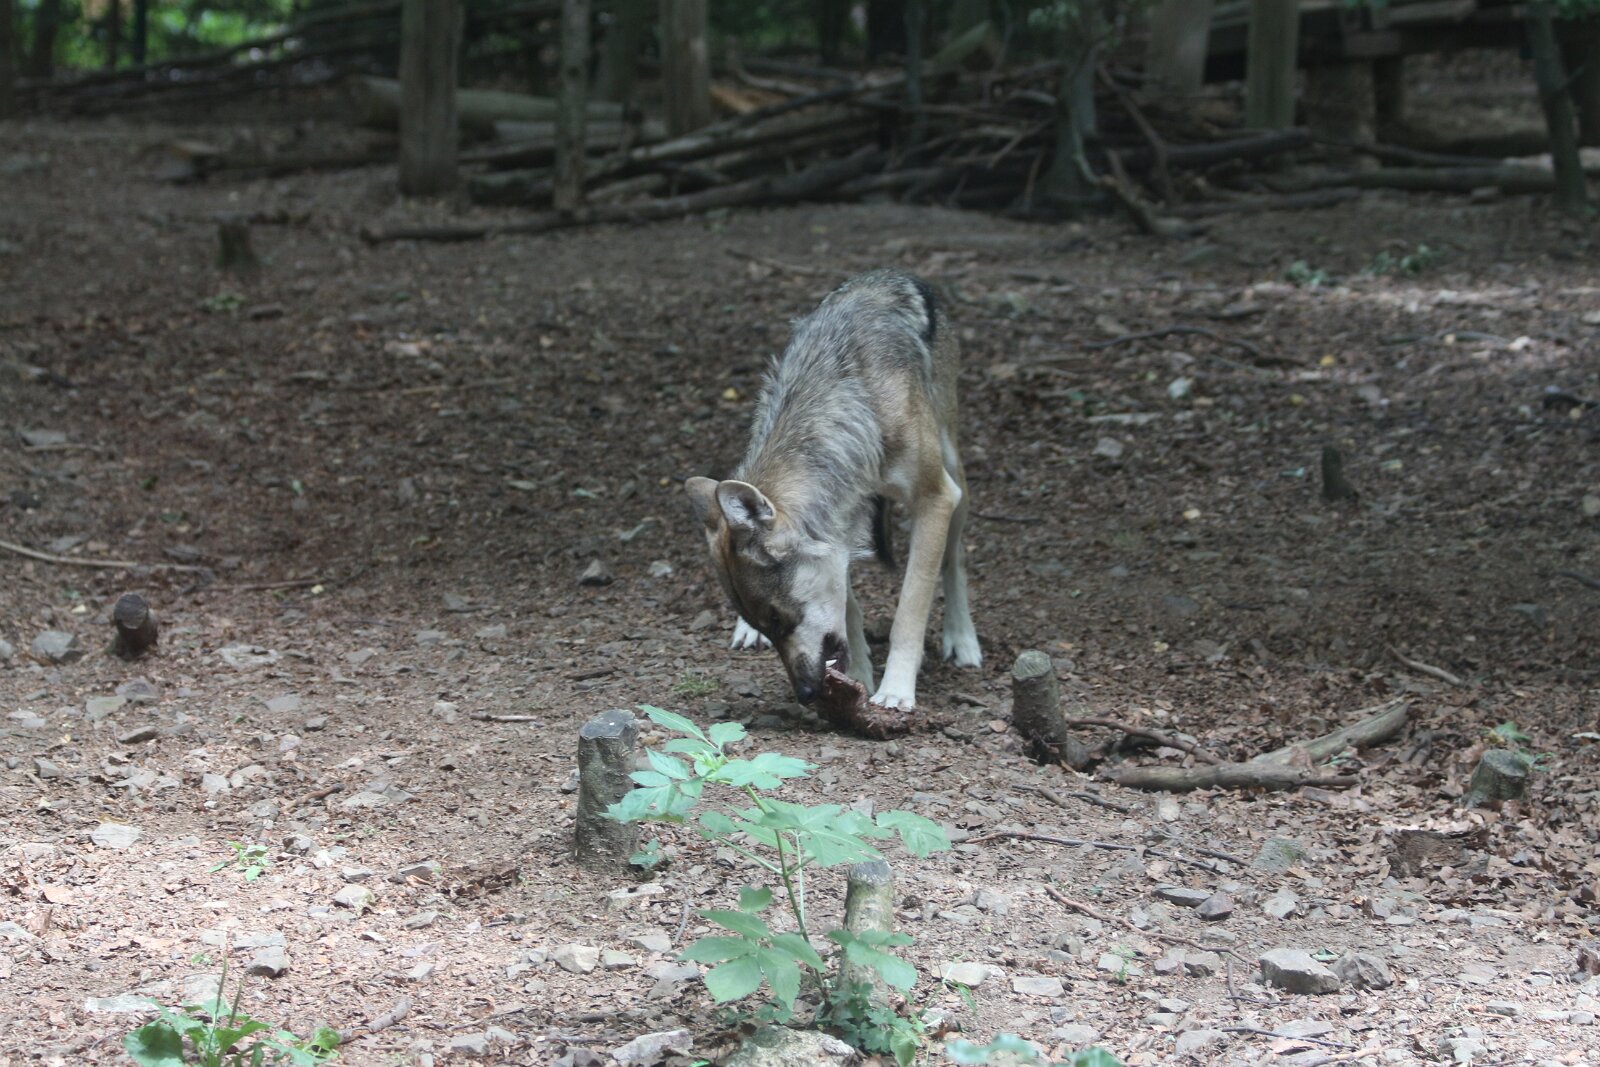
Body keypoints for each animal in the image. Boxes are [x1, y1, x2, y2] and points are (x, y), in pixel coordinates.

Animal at [685, 269, 980, 710]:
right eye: (769, 624)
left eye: (778, 618)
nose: (806, 694)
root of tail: (891, 273)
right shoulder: (837, 531)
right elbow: (847, 612)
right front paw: (858, 676)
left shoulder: (935, 499)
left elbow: (910, 608)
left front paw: (895, 691)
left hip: (954, 479)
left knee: (954, 559)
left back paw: (962, 639)